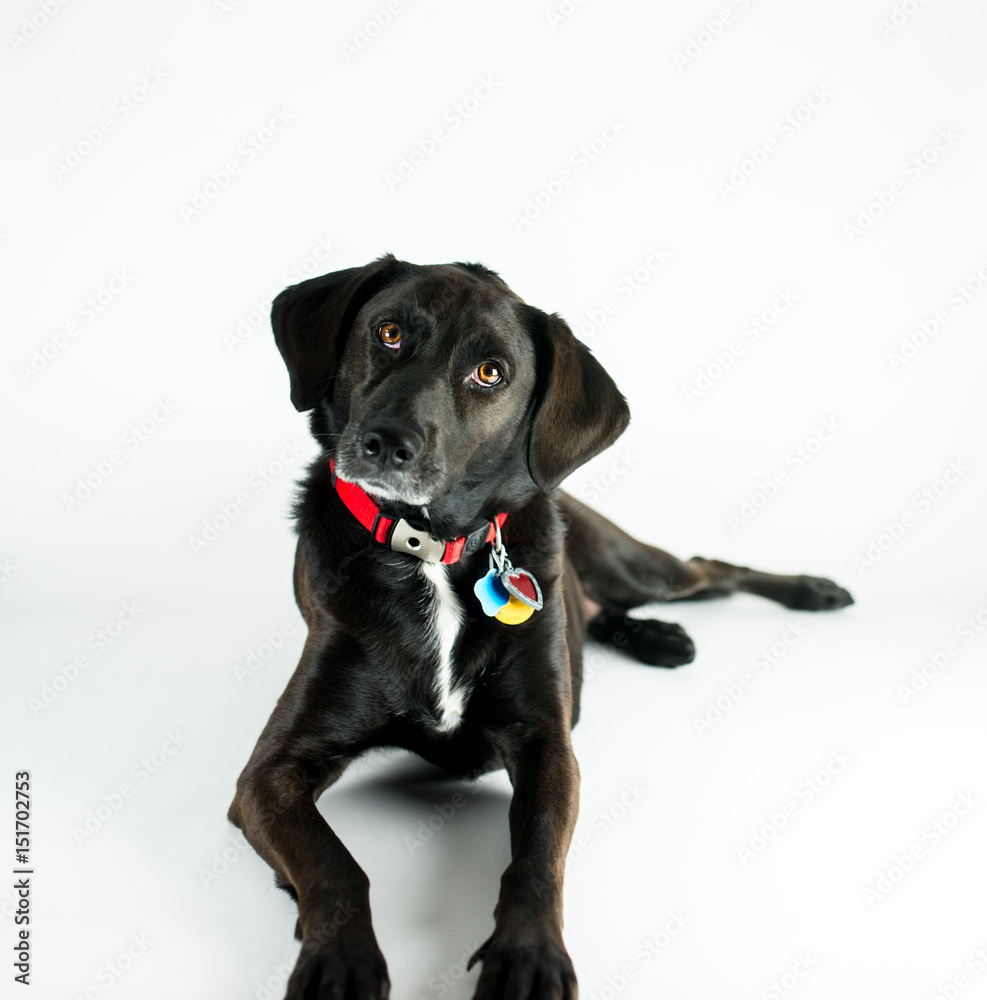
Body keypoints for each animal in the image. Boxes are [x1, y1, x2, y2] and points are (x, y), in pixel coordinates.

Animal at [228, 254, 852, 996]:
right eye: (387, 333)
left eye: (490, 372)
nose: (385, 443)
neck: (433, 552)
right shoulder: (266, 778)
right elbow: (334, 863)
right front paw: (337, 956)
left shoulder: (546, 742)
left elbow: (535, 858)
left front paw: (529, 956)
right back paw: (656, 637)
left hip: (639, 569)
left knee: (711, 567)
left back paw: (810, 591)